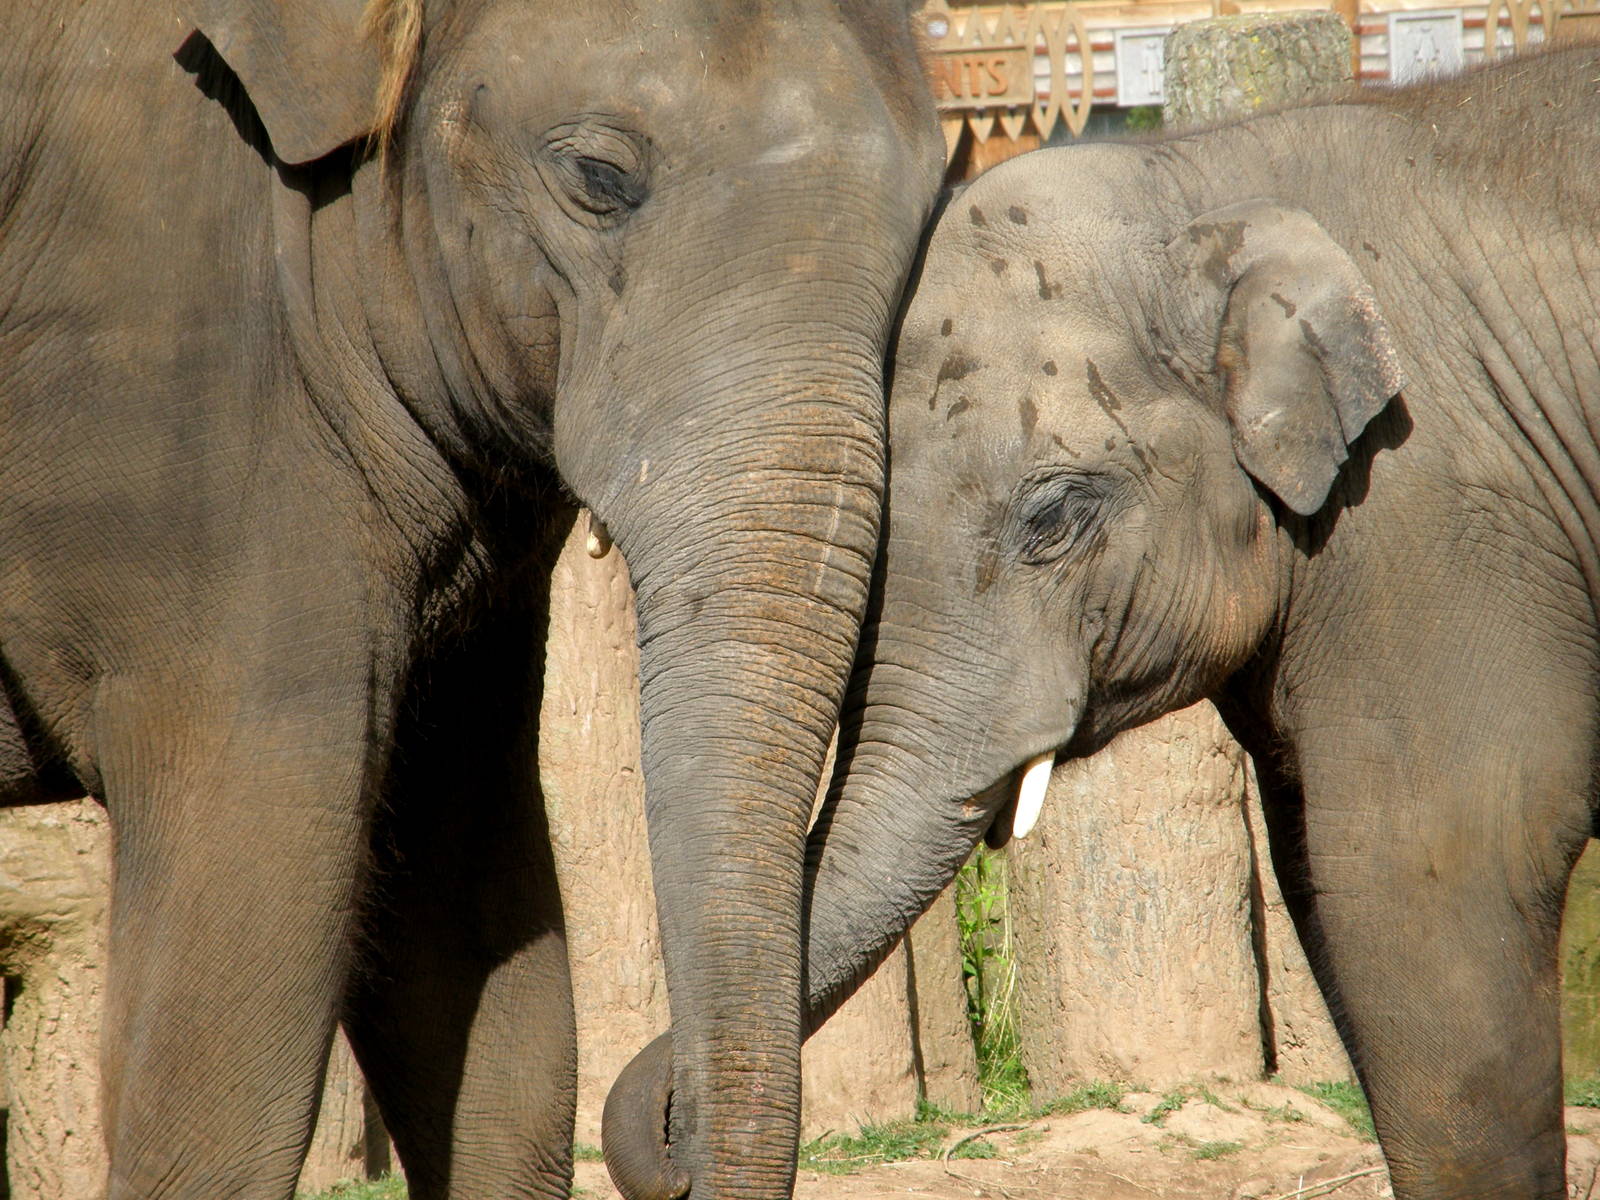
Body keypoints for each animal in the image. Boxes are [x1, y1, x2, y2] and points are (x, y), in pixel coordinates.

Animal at [605, 46, 1600, 1200]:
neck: (1200, 183)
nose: (666, 1144)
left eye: (1053, 517)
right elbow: (1329, 883)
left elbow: (1430, 882)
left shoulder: (1431, 522)